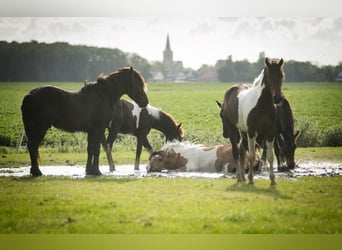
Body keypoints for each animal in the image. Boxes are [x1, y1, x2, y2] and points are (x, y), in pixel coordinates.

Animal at [20, 66, 148, 176]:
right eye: (138, 83)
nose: (145, 102)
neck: (103, 95)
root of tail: (30, 95)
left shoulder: (91, 131)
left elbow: (90, 149)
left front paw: (89, 170)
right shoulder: (99, 129)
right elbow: (96, 149)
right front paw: (96, 171)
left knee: (31, 146)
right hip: (40, 128)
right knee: (33, 146)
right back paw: (37, 172)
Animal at [218, 57, 284, 185]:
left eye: (282, 76)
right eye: (269, 76)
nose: (277, 98)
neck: (261, 105)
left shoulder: (270, 132)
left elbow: (270, 156)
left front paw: (272, 179)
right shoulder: (252, 132)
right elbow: (252, 156)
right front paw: (251, 179)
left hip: (243, 132)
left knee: (242, 151)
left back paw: (242, 177)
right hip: (234, 131)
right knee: (236, 152)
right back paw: (240, 177)